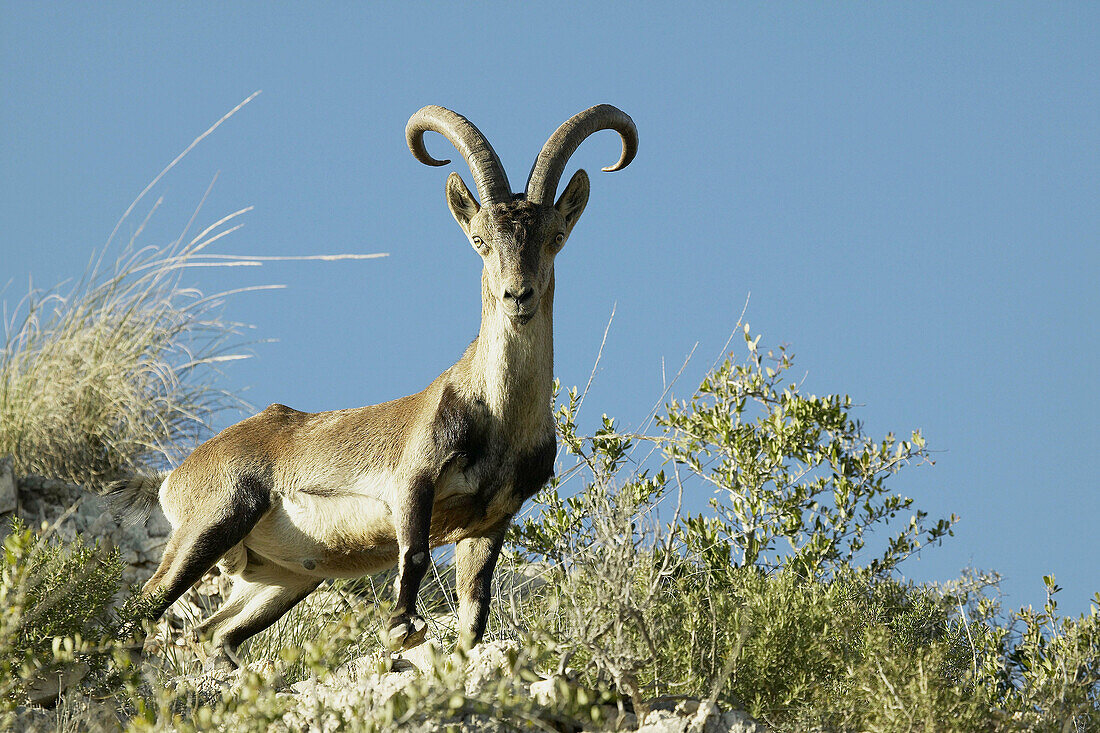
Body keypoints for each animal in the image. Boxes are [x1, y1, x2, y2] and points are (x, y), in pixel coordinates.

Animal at [105, 102, 638, 669]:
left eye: (555, 237)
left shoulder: (490, 522)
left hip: (283, 578)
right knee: (145, 605)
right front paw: (402, 628)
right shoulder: (412, 480)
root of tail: (173, 476)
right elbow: (416, 552)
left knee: (216, 632)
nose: (518, 295)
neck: (499, 417)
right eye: (480, 240)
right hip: (213, 519)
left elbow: (476, 607)